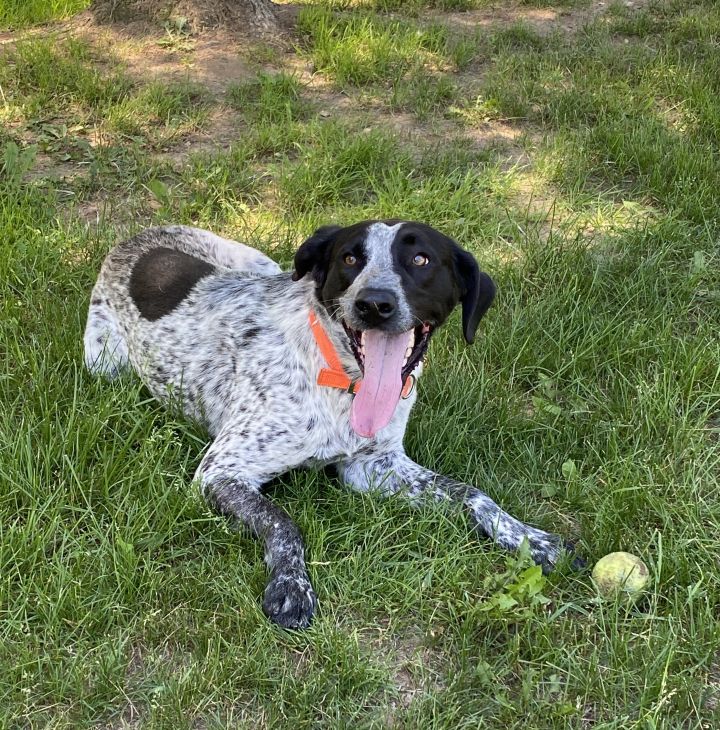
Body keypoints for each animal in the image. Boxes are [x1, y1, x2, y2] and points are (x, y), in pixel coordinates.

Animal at [84, 220, 580, 624]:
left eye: (420, 259)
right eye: (350, 258)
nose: (374, 304)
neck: (342, 381)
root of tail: (132, 238)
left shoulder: (373, 465)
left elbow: (472, 493)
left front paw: (530, 539)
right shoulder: (220, 471)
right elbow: (283, 522)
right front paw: (290, 586)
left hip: (261, 262)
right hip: (104, 366)